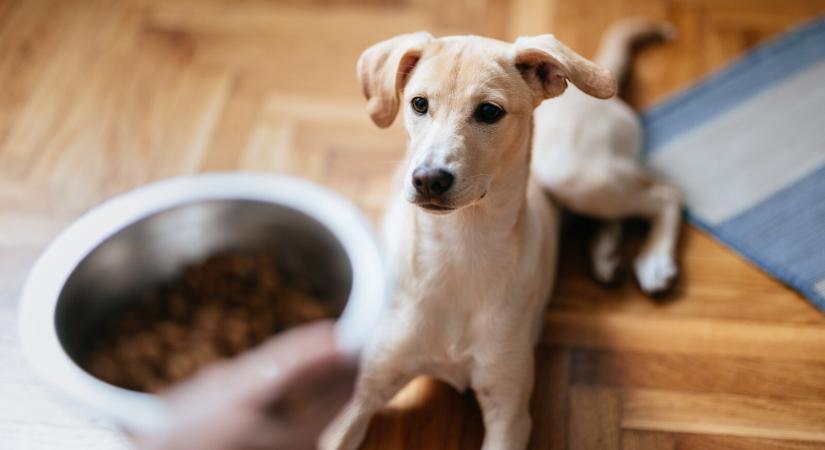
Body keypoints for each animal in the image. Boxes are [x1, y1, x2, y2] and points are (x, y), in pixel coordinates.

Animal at [322, 18, 684, 450]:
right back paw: (608, 254)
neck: (459, 248)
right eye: (419, 103)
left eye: (489, 111)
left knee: (664, 194)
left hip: (574, 176)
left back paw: (654, 261)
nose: (428, 179)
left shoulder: (508, 410)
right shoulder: (357, 396)